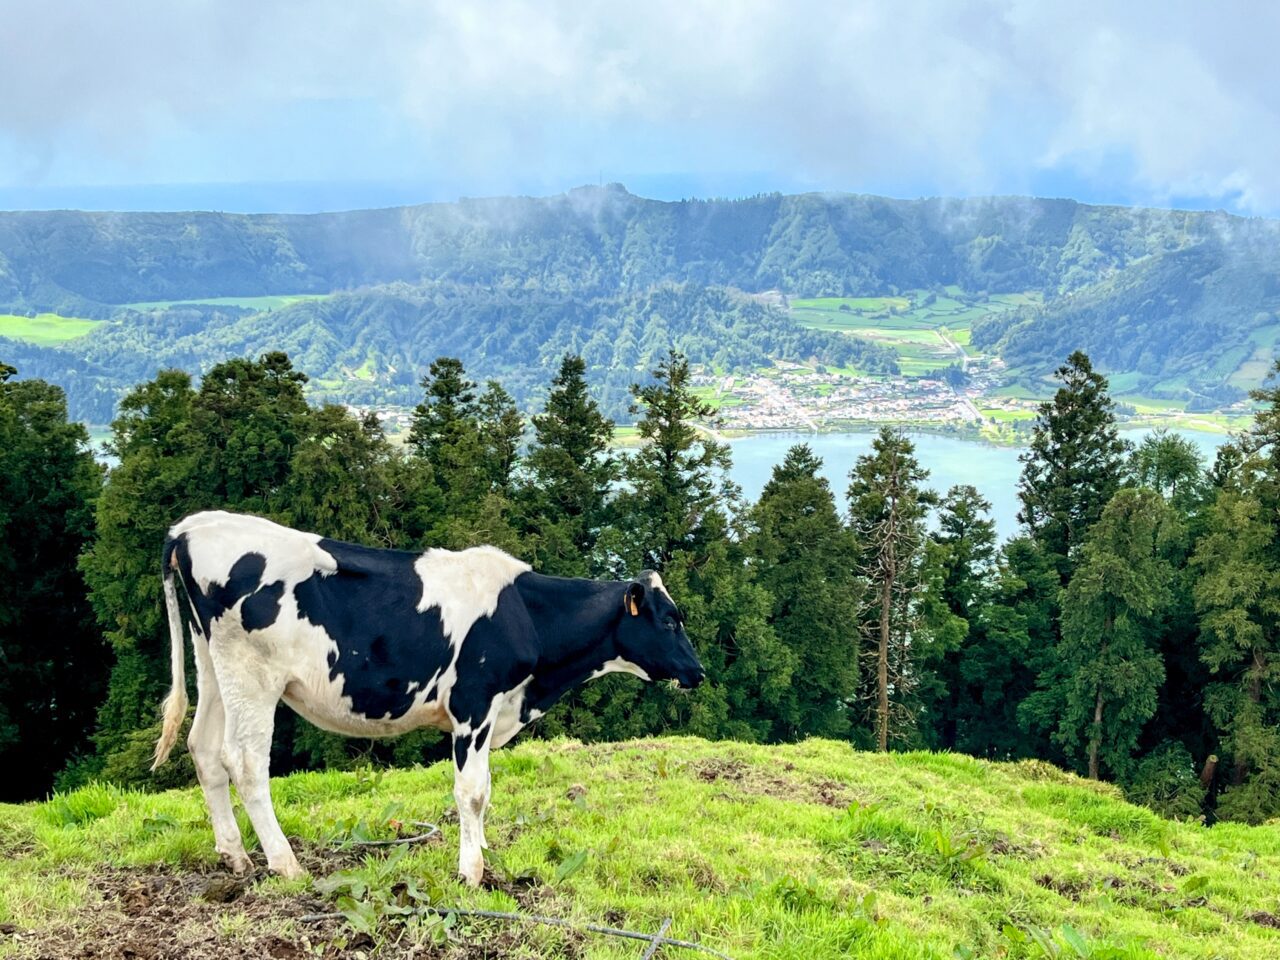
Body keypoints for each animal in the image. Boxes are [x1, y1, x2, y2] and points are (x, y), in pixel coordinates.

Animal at [153, 512, 706, 885]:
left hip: (213, 663)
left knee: (204, 749)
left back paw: (234, 855)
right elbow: (472, 790)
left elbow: (485, 788)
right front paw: (471, 870)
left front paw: (482, 849)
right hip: (253, 675)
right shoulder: (474, 704)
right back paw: (285, 864)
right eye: (669, 620)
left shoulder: (492, 709)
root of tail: (191, 527)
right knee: (245, 762)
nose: (698, 672)